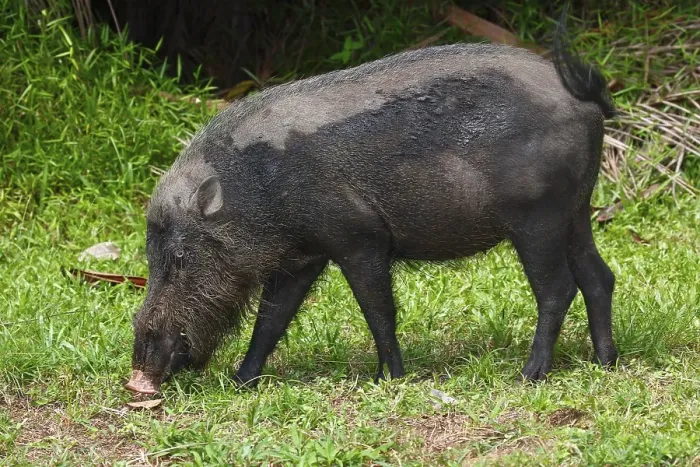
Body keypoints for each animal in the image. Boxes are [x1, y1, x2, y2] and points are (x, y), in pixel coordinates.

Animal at [126, 21, 618, 394]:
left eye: (179, 258)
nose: (138, 374)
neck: (258, 189)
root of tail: (585, 98)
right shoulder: (303, 257)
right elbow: (270, 321)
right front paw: (241, 382)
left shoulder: (359, 238)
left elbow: (379, 312)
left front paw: (390, 379)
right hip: (576, 211)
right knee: (599, 277)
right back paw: (606, 364)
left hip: (538, 217)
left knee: (559, 288)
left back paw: (529, 375)